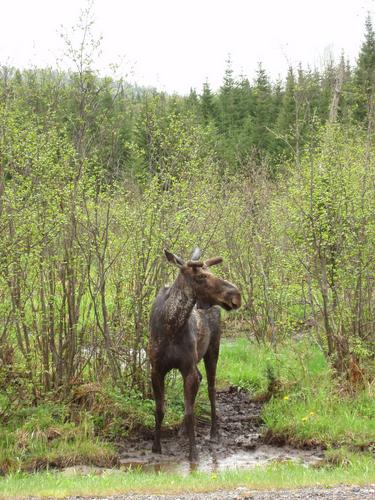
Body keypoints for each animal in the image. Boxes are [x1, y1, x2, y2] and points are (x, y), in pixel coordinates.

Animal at [148, 248, 242, 462]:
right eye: (200, 277)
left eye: (210, 272)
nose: (236, 295)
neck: (171, 326)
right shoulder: (156, 369)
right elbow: (160, 408)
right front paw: (156, 447)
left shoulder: (187, 368)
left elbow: (190, 411)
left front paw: (194, 452)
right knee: (200, 382)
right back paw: (183, 430)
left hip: (213, 349)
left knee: (211, 389)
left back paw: (214, 433)